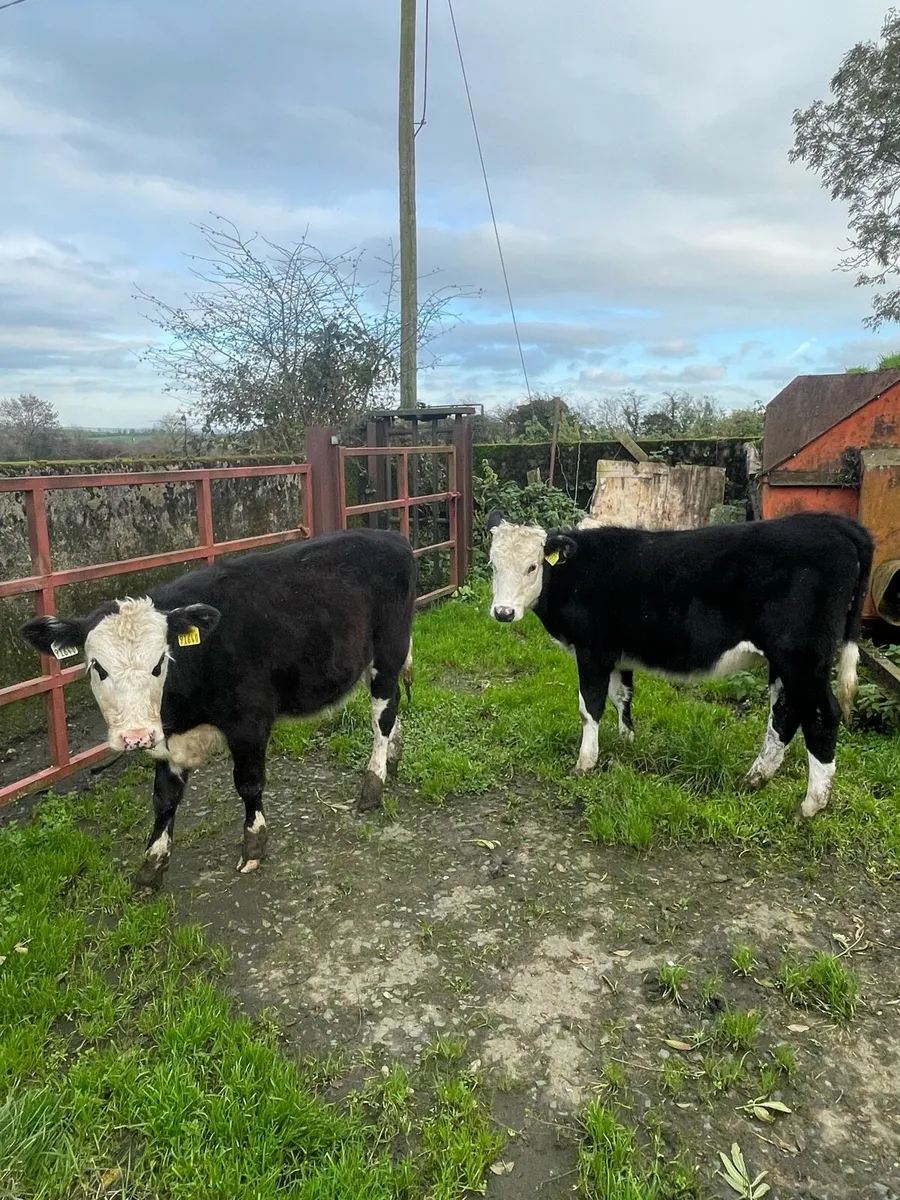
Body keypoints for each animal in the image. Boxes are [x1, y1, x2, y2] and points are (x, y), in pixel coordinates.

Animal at [20, 529, 416, 890]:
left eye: (160, 662)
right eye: (97, 666)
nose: (135, 737)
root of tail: (389, 536)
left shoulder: (250, 721)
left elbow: (248, 783)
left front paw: (253, 845)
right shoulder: (168, 740)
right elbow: (163, 798)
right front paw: (152, 864)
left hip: (388, 652)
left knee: (382, 714)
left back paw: (373, 782)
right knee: (393, 706)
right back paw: (393, 758)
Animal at [485, 509, 873, 819]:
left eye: (532, 567)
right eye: (492, 565)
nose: (503, 613)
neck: (580, 572)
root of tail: (830, 522)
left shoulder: (592, 650)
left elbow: (590, 706)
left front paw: (585, 762)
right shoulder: (618, 654)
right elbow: (622, 696)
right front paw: (627, 741)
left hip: (804, 659)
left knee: (822, 715)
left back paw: (812, 804)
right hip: (785, 662)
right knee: (784, 713)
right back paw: (755, 778)